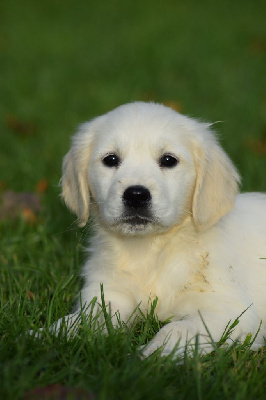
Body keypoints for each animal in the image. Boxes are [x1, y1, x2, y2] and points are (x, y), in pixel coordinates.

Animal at [52, 102, 266, 356]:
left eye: (168, 160)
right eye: (110, 159)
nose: (136, 195)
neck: (151, 252)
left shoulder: (231, 311)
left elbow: (175, 329)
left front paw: (148, 356)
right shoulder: (108, 295)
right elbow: (79, 321)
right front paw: (41, 336)